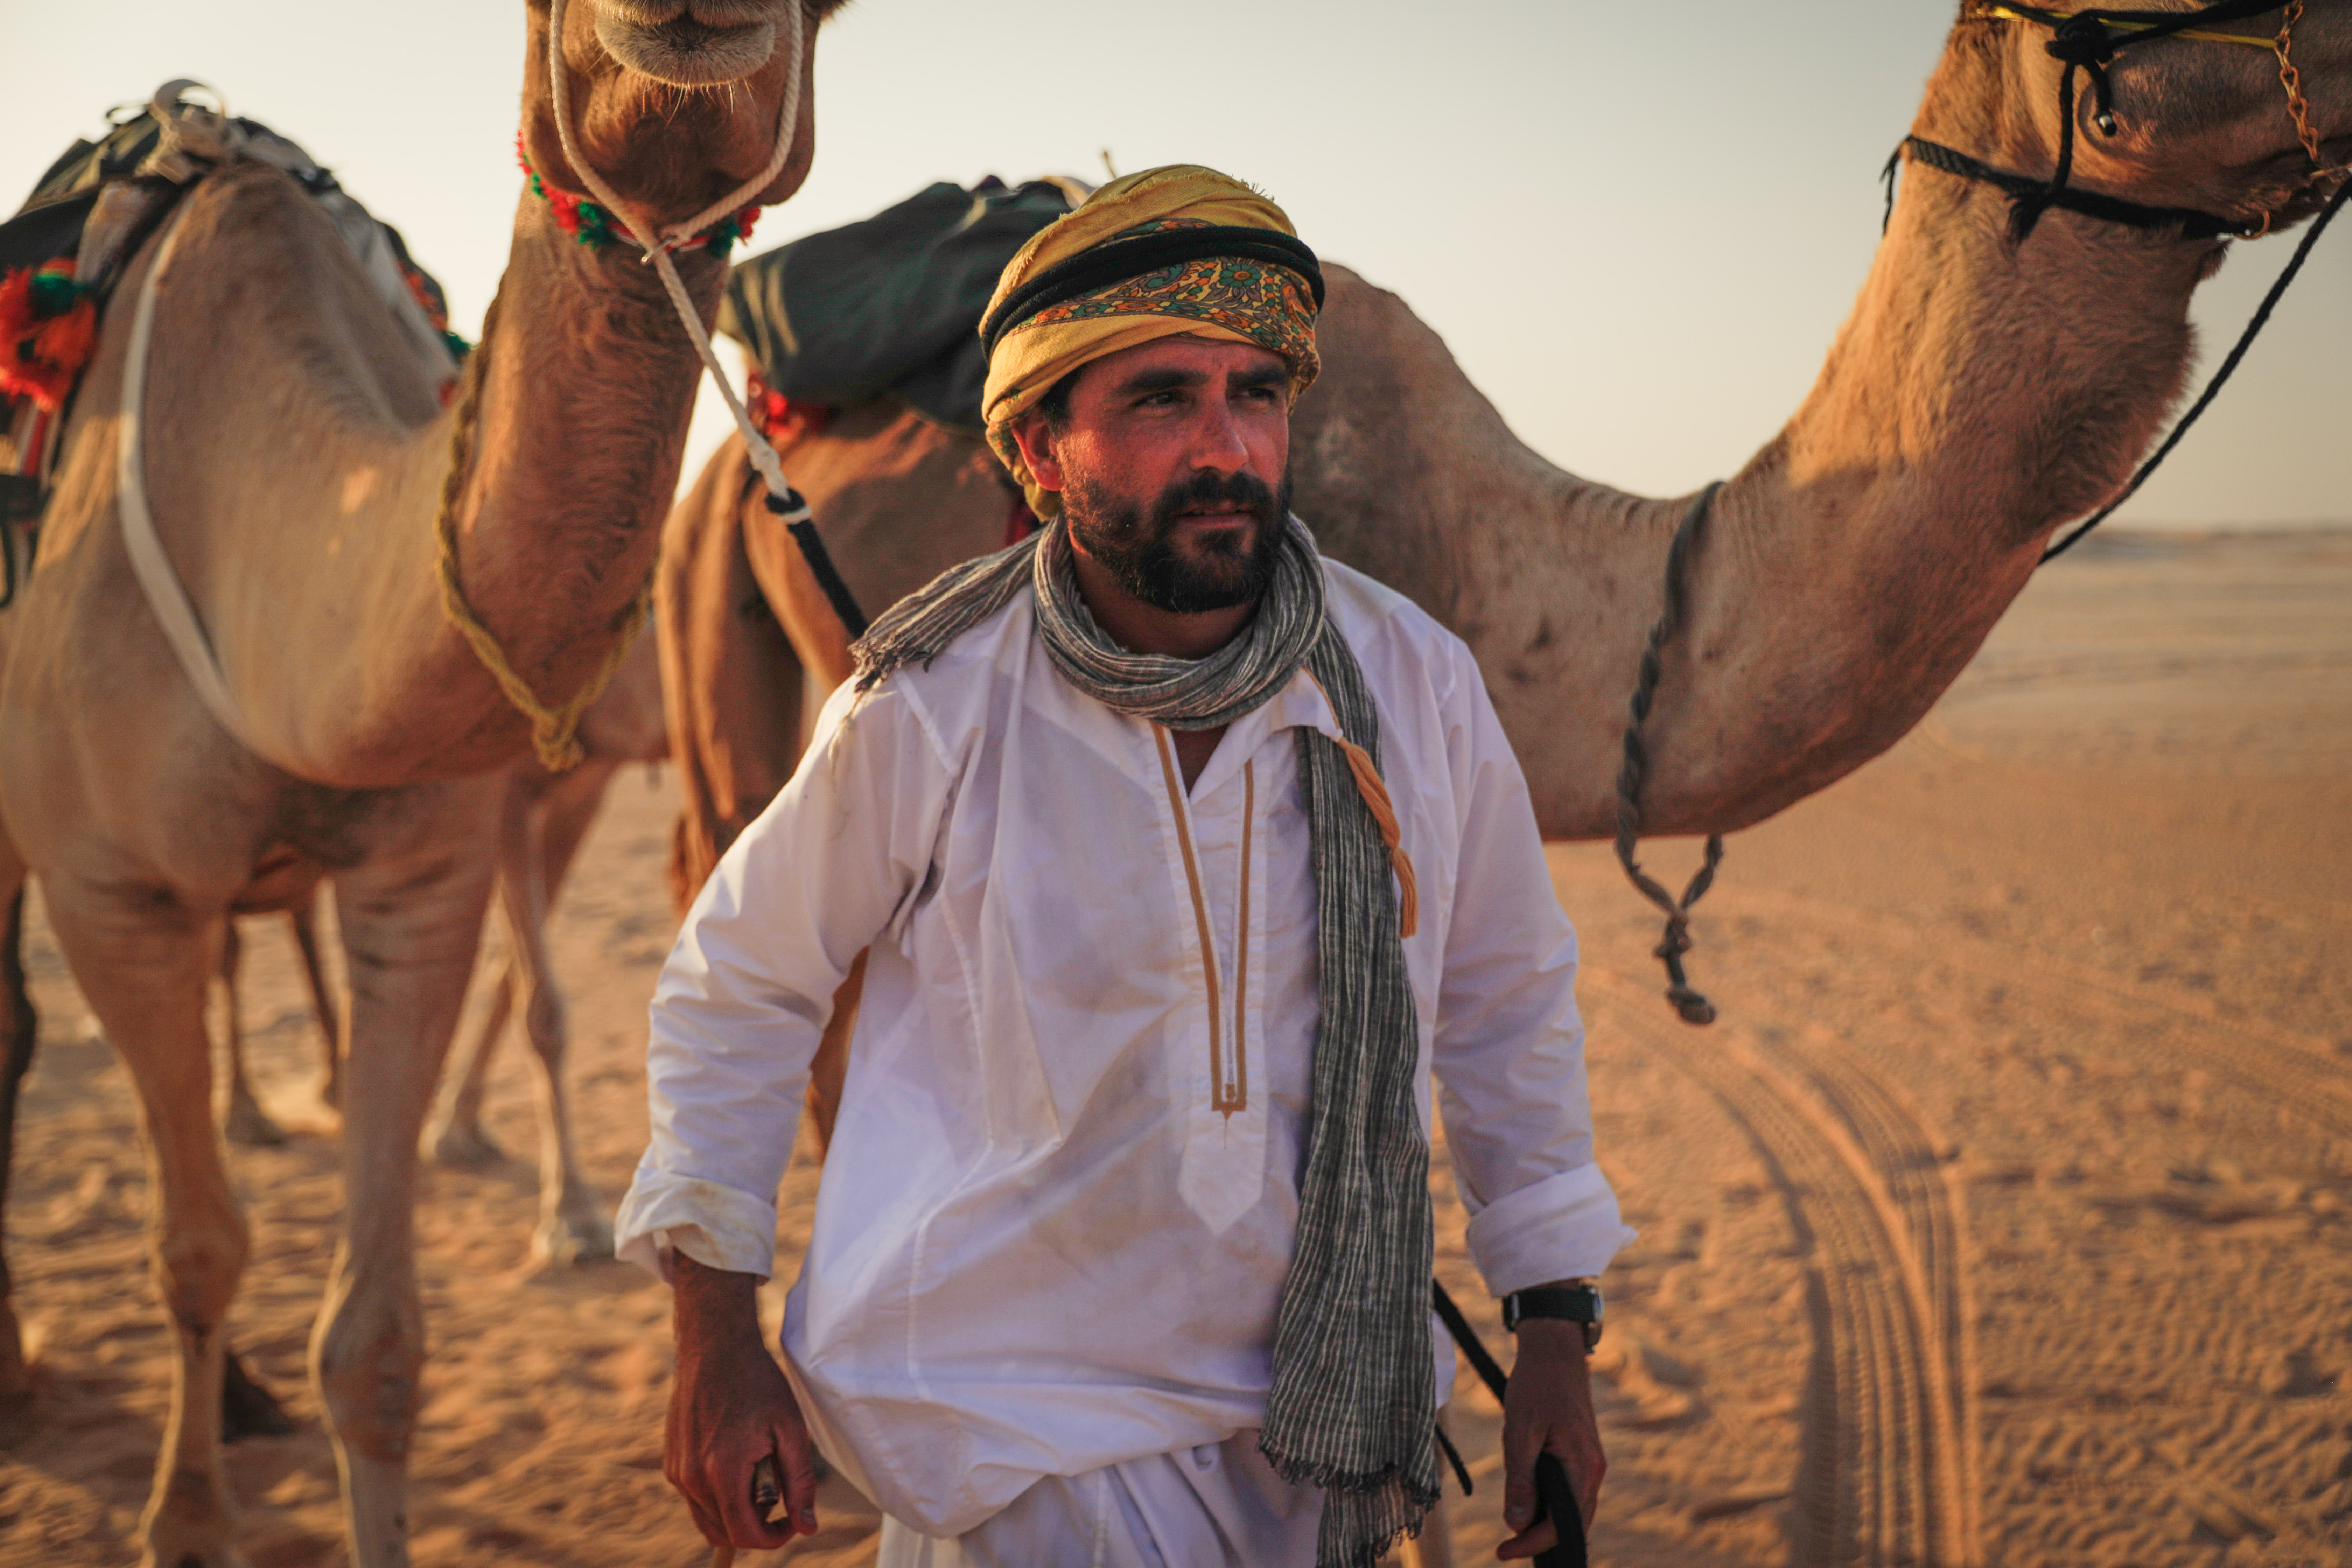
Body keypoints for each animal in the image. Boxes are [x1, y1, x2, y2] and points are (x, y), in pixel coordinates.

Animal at [0, 6, 842, 1561]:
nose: (691, 17)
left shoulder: (422, 875)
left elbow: (377, 1344)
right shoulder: (118, 892)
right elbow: (196, 1249)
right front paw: (184, 1517)